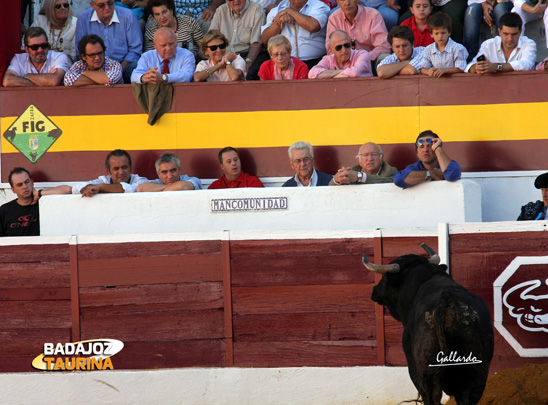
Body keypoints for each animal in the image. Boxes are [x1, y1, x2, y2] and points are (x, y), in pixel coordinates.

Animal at [364, 243, 496, 404]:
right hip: (476, 370)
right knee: (467, 396)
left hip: (426, 370)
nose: (374, 290)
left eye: (386, 277)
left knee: (431, 397)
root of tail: (447, 300)